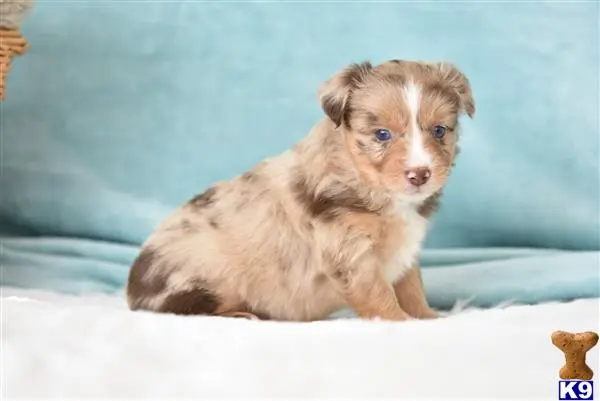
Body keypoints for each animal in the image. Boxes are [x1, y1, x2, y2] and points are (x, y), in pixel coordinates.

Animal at [125, 59, 474, 322]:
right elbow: (380, 295)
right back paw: (240, 315)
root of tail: (131, 292)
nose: (420, 174)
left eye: (439, 130)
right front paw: (402, 323)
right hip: (203, 278)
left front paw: (430, 319)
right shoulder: (349, 254)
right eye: (382, 134)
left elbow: (412, 288)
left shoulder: (404, 254)